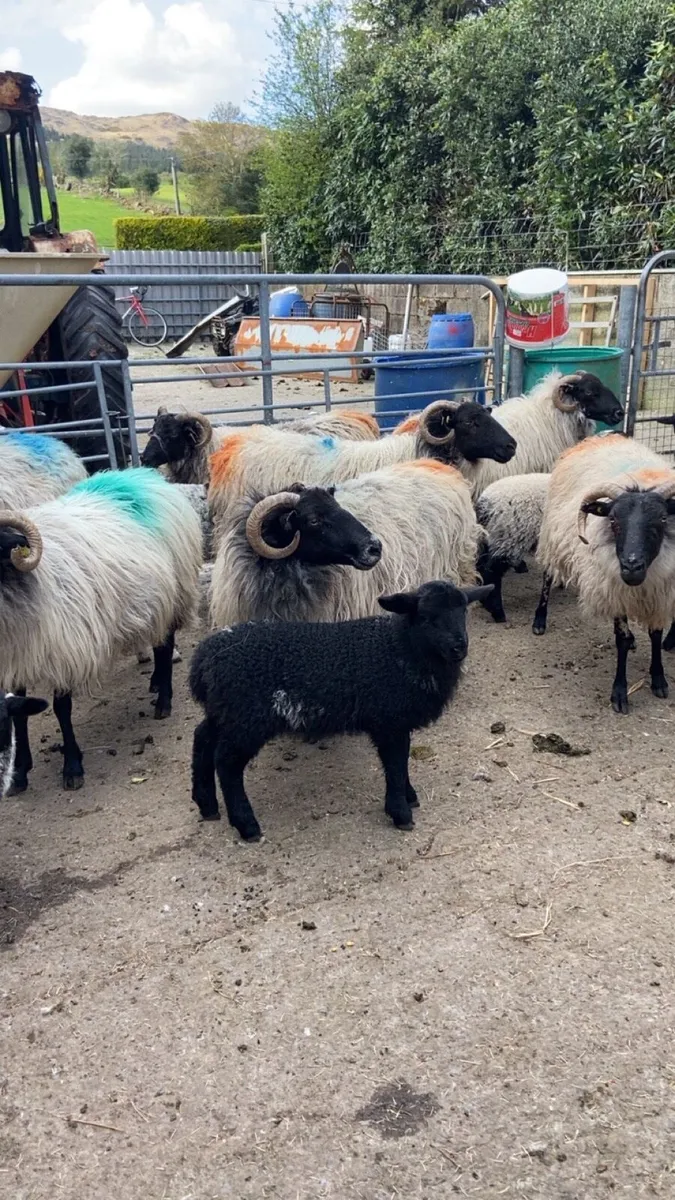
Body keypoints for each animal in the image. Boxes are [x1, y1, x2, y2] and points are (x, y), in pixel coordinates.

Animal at [0, 468, 202, 791]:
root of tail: (140, 476)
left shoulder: (67, 651)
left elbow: (62, 709)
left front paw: (72, 767)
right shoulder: (17, 657)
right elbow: (20, 714)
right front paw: (19, 772)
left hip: (174, 595)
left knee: (165, 644)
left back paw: (164, 701)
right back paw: (156, 682)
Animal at [190, 579, 493, 840]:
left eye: (463, 611)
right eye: (427, 617)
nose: (459, 647)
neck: (401, 648)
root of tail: (205, 658)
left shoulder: (396, 722)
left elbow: (403, 760)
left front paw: (410, 796)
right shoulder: (388, 720)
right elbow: (395, 765)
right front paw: (401, 812)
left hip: (225, 712)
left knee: (202, 739)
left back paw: (207, 804)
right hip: (247, 718)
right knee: (226, 763)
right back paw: (247, 825)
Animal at [475, 473, 550, 623]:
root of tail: (485, 504)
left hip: (492, 537)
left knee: (481, 566)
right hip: (511, 538)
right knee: (491, 572)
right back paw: (497, 612)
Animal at [535, 433, 675, 712]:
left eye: (663, 520)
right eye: (613, 520)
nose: (631, 566)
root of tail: (601, 437)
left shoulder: (660, 594)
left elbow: (655, 635)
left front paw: (658, 679)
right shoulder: (614, 588)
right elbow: (621, 640)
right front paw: (619, 693)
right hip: (552, 536)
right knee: (547, 575)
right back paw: (539, 620)